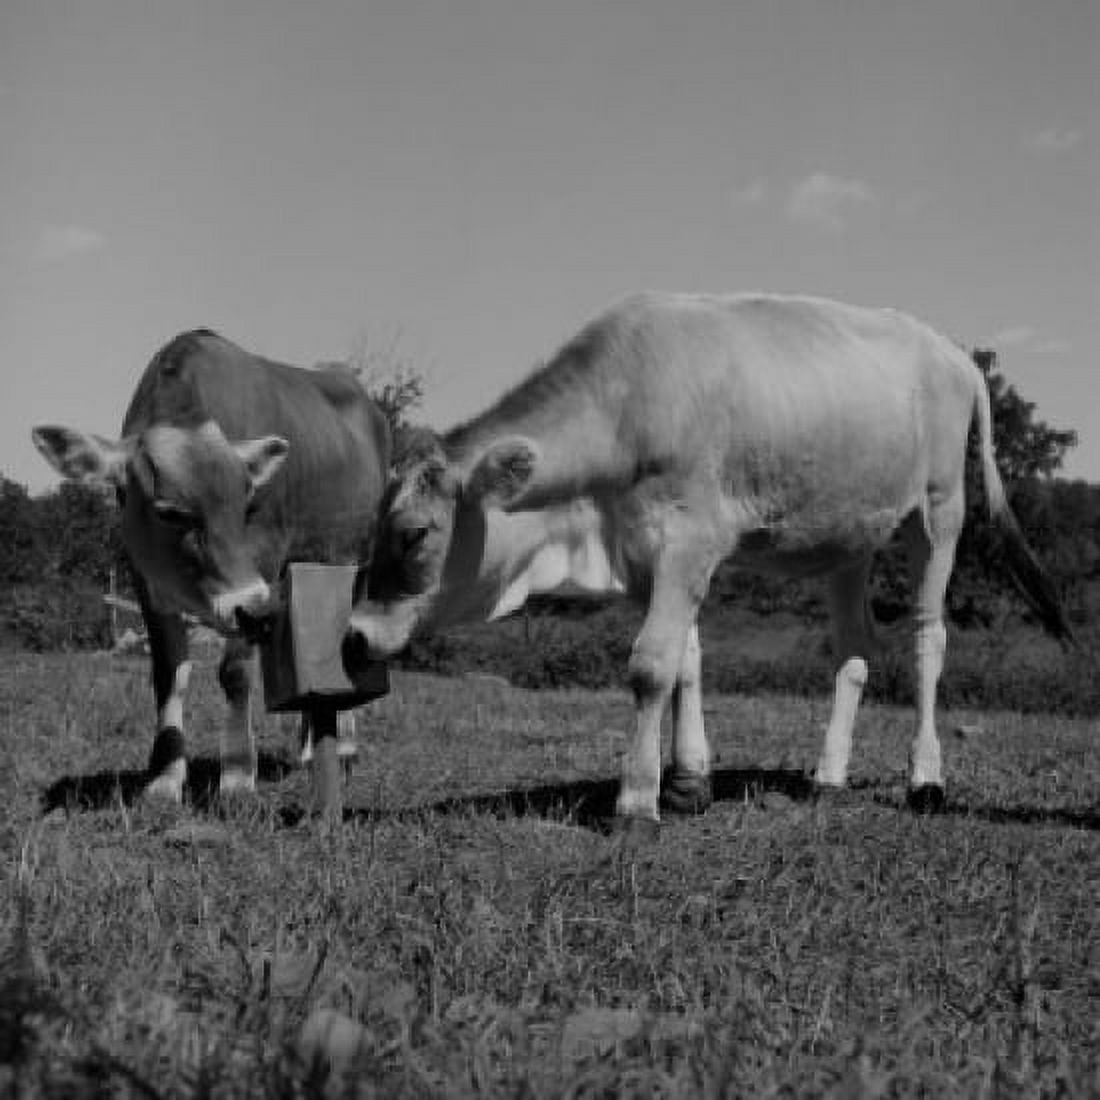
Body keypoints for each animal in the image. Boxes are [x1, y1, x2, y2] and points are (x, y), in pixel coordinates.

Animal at [33, 329, 391, 802]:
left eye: (248, 502)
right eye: (169, 511)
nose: (259, 610)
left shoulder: (261, 570)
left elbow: (235, 672)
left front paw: (238, 774)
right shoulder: (146, 580)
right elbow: (168, 673)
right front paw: (165, 776)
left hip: (357, 557)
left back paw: (345, 748)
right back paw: (311, 747)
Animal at [342, 293, 1072, 837]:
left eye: (414, 532)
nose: (353, 635)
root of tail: (953, 353)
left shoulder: (690, 537)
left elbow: (649, 665)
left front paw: (638, 802)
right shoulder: (646, 552)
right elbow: (686, 659)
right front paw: (689, 781)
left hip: (939, 510)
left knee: (927, 639)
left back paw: (925, 779)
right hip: (848, 539)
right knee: (854, 649)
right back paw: (829, 777)